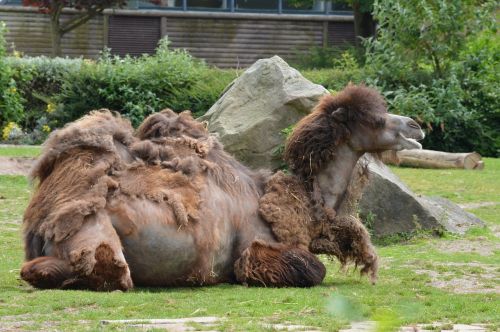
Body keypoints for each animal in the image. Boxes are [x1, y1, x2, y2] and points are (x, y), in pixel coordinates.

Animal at [21, 84, 424, 290]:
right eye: (375, 119)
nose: (416, 126)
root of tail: (38, 225)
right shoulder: (255, 248)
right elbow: (312, 269)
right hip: (95, 234)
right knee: (102, 270)